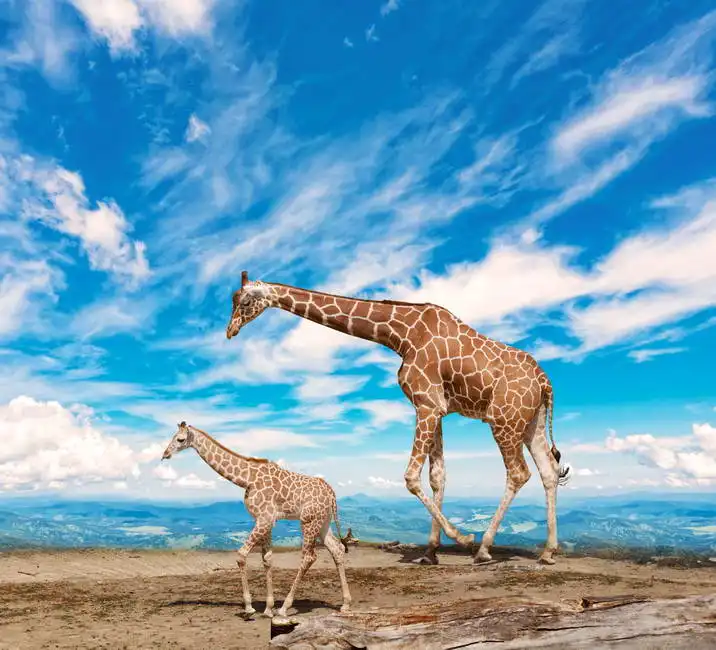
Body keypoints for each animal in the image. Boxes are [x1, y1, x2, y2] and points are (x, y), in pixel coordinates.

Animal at [161, 421, 352, 617]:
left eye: (180, 439)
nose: (165, 454)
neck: (246, 479)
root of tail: (331, 493)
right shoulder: (265, 519)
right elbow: (267, 559)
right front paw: (268, 609)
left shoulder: (265, 518)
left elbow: (241, 555)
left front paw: (249, 607)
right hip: (323, 521)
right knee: (337, 549)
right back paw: (345, 604)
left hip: (308, 520)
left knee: (309, 556)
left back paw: (285, 608)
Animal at [225, 271, 573, 566]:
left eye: (243, 301)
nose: (230, 331)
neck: (401, 334)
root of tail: (544, 381)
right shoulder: (436, 408)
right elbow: (437, 477)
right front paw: (431, 551)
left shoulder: (426, 404)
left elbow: (410, 477)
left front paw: (461, 538)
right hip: (531, 422)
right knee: (548, 470)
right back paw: (548, 552)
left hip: (504, 420)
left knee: (518, 473)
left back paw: (484, 548)